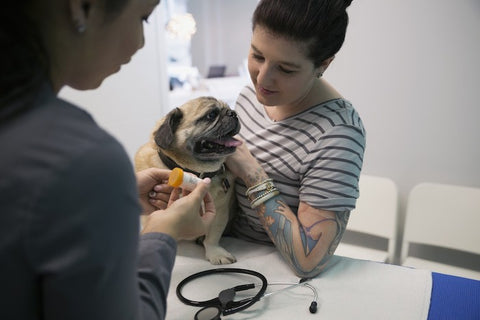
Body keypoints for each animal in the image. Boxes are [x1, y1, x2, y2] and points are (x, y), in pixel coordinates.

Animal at [134, 95, 240, 264]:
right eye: (211, 115)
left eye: (229, 109)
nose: (233, 113)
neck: (196, 172)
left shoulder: (220, 212)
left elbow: (212, 237)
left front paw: (215, 253)